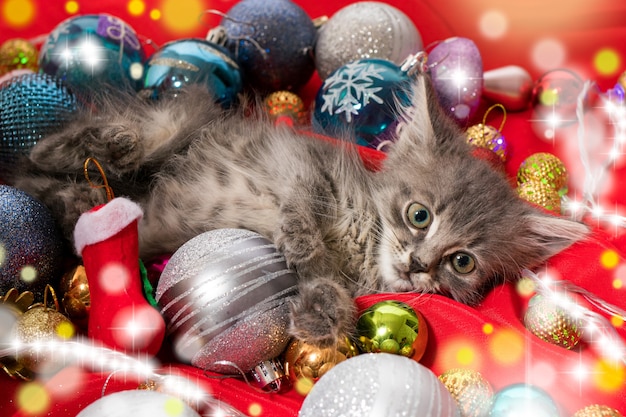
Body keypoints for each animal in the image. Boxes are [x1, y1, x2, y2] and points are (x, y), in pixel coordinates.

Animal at [15, 75, 588, 348]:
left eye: (462, 263)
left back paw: (87, 199)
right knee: (73, 149)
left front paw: (322, 310)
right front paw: (308, 253)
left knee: (64, 195)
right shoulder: (295, 162)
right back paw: (98, 146)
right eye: (419, 215)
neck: (363, 241)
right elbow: (304, 213)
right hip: (176, 125)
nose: (420, 265)